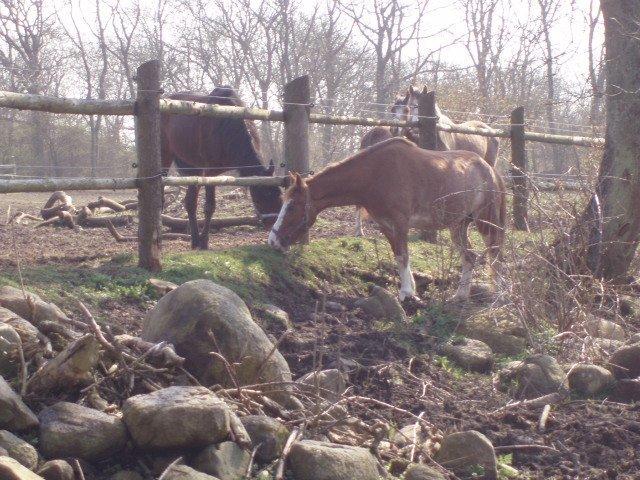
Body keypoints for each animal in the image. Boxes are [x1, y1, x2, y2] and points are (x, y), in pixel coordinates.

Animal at [160, 86, 282, 249]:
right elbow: (209, 207)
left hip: (193, 168)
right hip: (165, 157)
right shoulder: (210, 172)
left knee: (190, 202)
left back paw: (194, 240)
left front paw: (202, 241)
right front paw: (204, 242)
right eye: (261, 196)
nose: (272, 223)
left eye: (279, 194)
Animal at [268, 137, 508, 300]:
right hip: (458, 225)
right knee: (469, 256)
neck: (375, 175)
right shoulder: (385, 224)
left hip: (485, 222)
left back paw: (498, 294)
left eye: (292, 206)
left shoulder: (400, 223)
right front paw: (410, 288)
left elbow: (403, 256)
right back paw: (460, 296)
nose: (273, 240)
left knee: (494, 252)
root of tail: (489, 169)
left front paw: (406, 293)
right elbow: (398, 256)